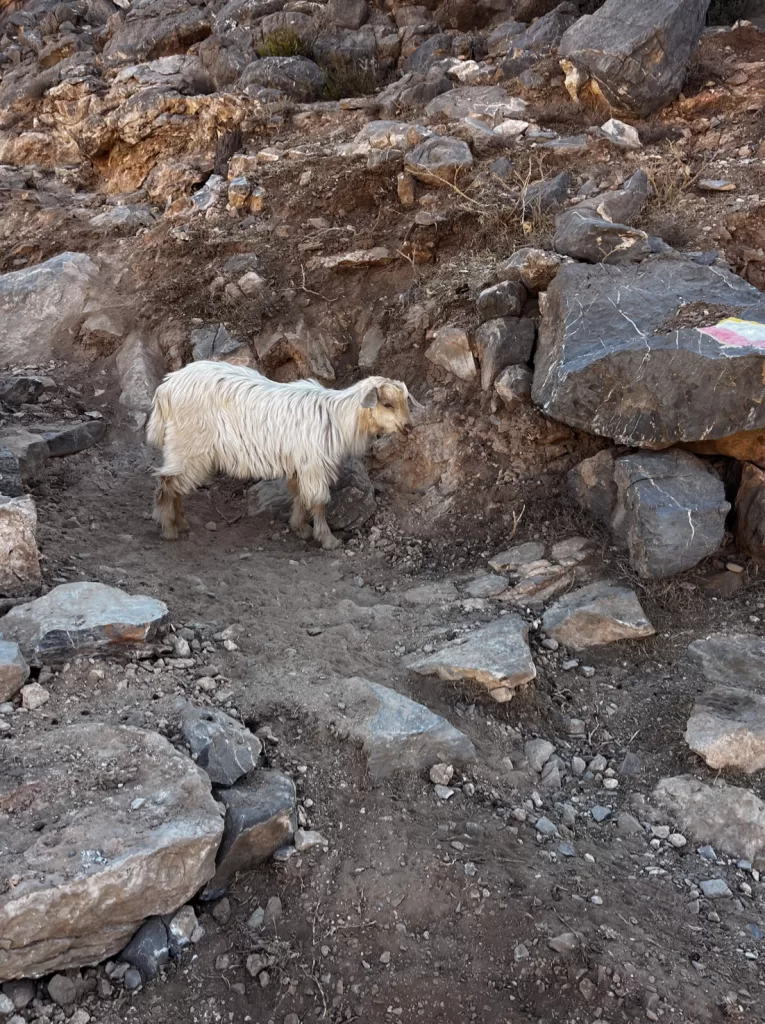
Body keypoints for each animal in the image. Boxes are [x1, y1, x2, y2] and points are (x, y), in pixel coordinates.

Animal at [146, 360, 415, 549]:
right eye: (387, 403)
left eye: (404, 401)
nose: (409, 427)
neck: (339, 418)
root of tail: (166, 388)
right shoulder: (314, 464)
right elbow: (318, 501)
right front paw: (327, 539)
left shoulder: (300, 463)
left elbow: (299, 494)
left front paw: (300, 527)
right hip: (188, 444)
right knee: (167, 482)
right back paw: (169, 528)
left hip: (182, 448)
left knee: (175, 483)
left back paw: (181, 523)